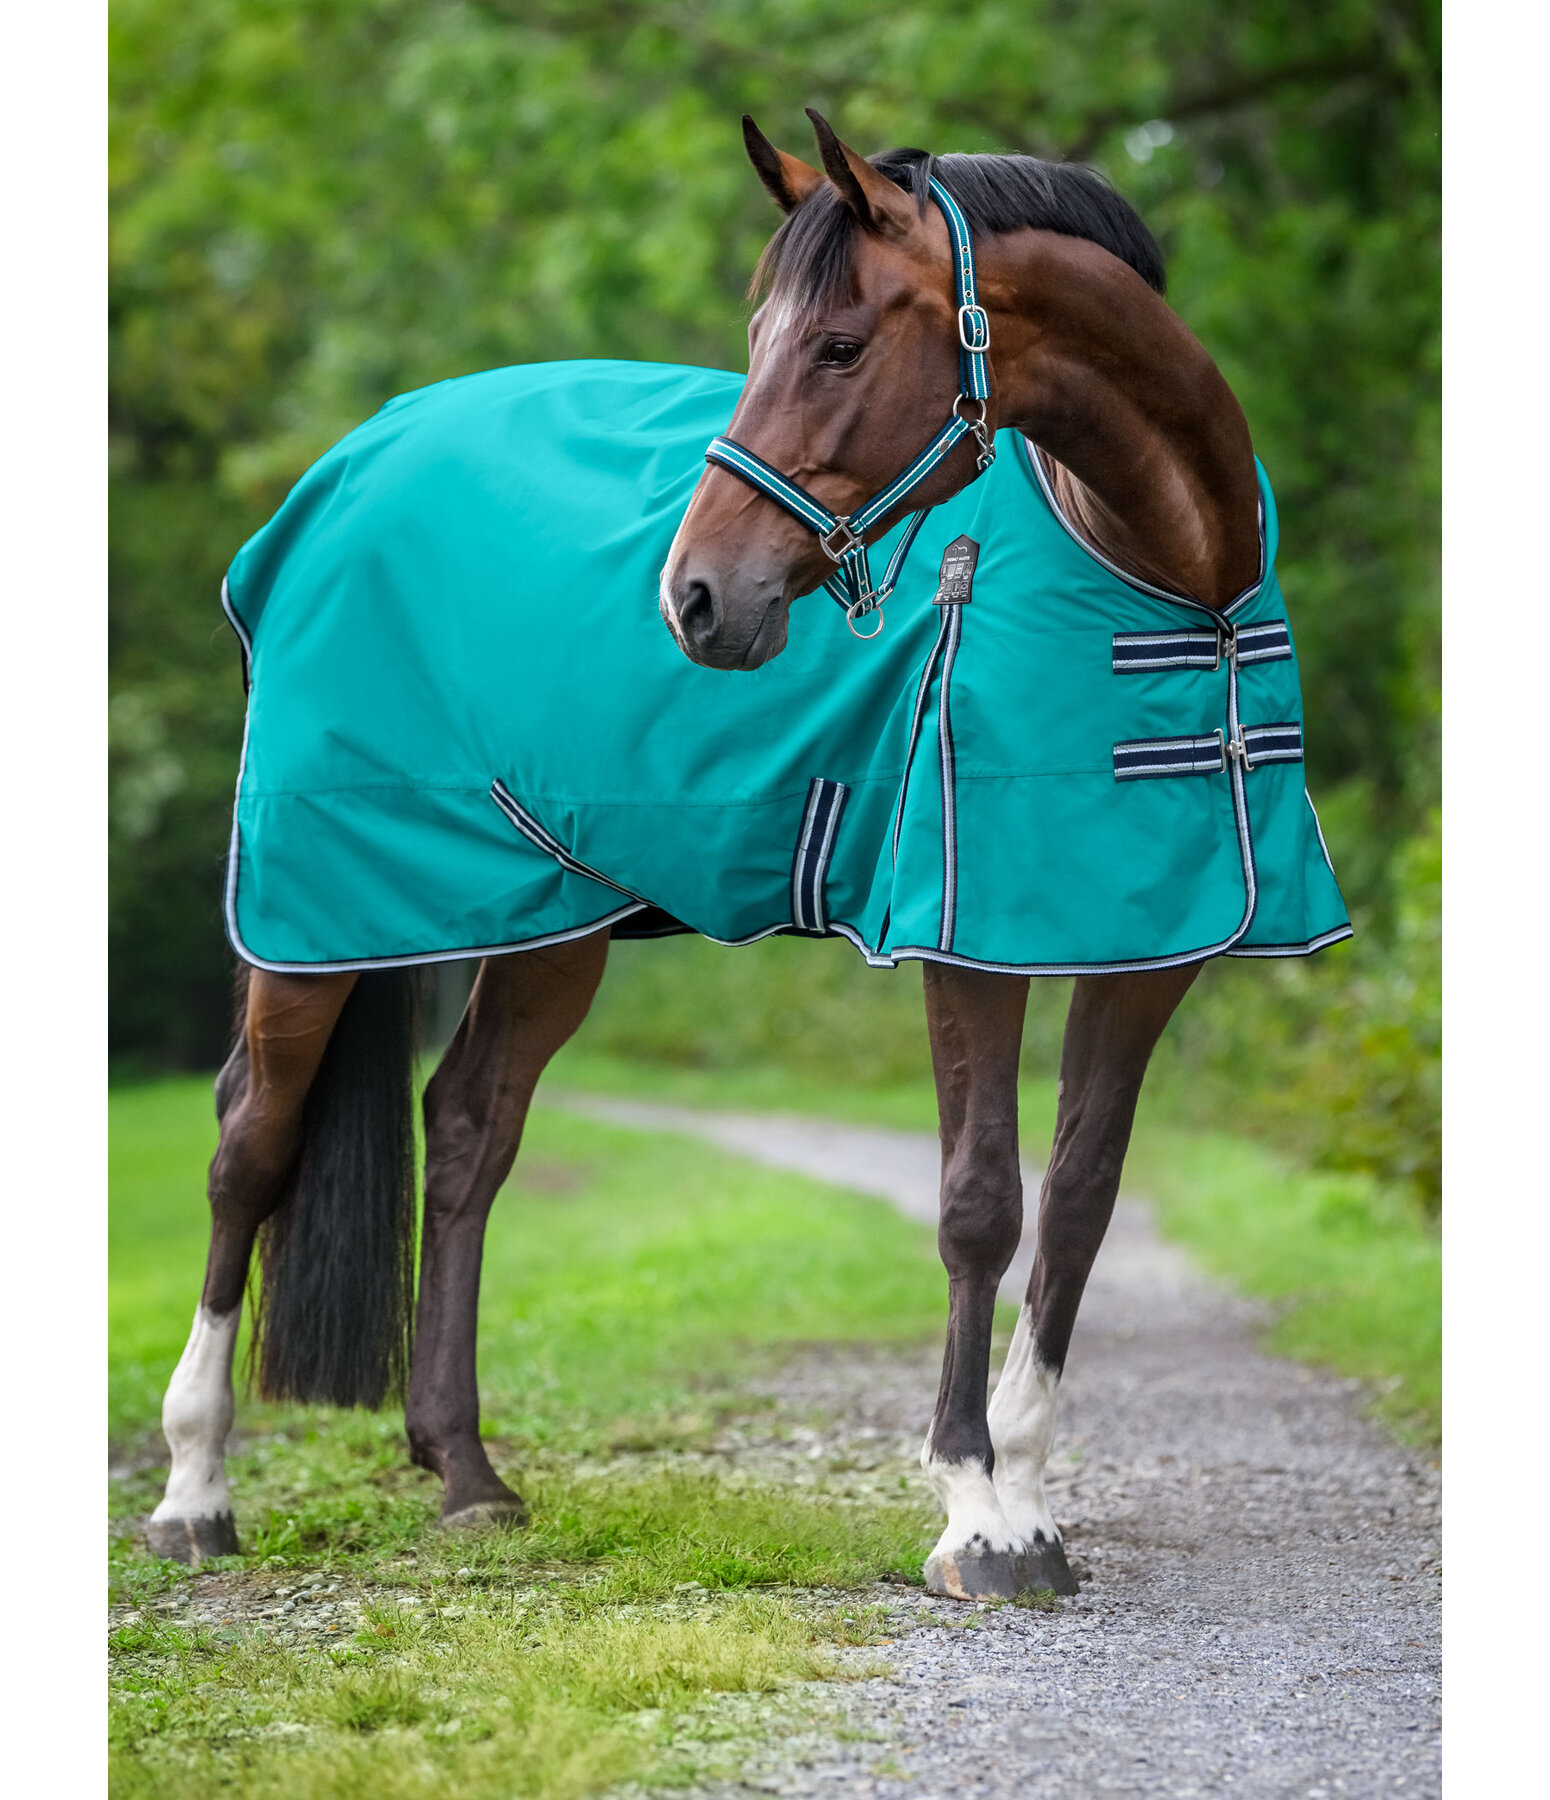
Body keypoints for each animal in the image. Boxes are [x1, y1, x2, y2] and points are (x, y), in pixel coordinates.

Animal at [146, 112, 1344, 1603]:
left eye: (835, 344)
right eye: (759, 334)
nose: (695, 599)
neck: (1170, 575)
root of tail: (345, 465)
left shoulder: (1145, 947)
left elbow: (1076, 1203)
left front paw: (1026, 1489)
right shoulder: (962, 934)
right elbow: (977, 1203)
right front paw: (975, 1514)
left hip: (545, 920)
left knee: (469, 1130)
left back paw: (467, 1475)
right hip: (320, 907)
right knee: (248, 1142)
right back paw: (194, 1489)